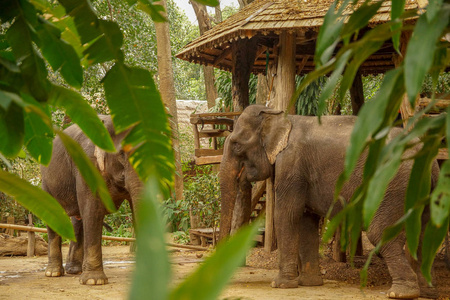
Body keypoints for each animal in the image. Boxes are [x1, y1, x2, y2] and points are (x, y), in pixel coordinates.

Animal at [42, 115, 142, 286]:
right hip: (46, 182)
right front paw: (93, 281)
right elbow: (92, 210)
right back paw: (53, 273)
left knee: (77, 220)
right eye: (122, 154)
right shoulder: (85, 163)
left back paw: (74, 271)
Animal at [220, 104, 442, 298]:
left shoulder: (291, 165)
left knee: (380, 232)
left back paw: (401, 293)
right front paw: (310, 283)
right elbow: (306, 220)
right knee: (423, 233)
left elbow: (287, 215)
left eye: (237, 145)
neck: (279, 114)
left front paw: (281, 285)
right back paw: (427, 291)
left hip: (392, 182)